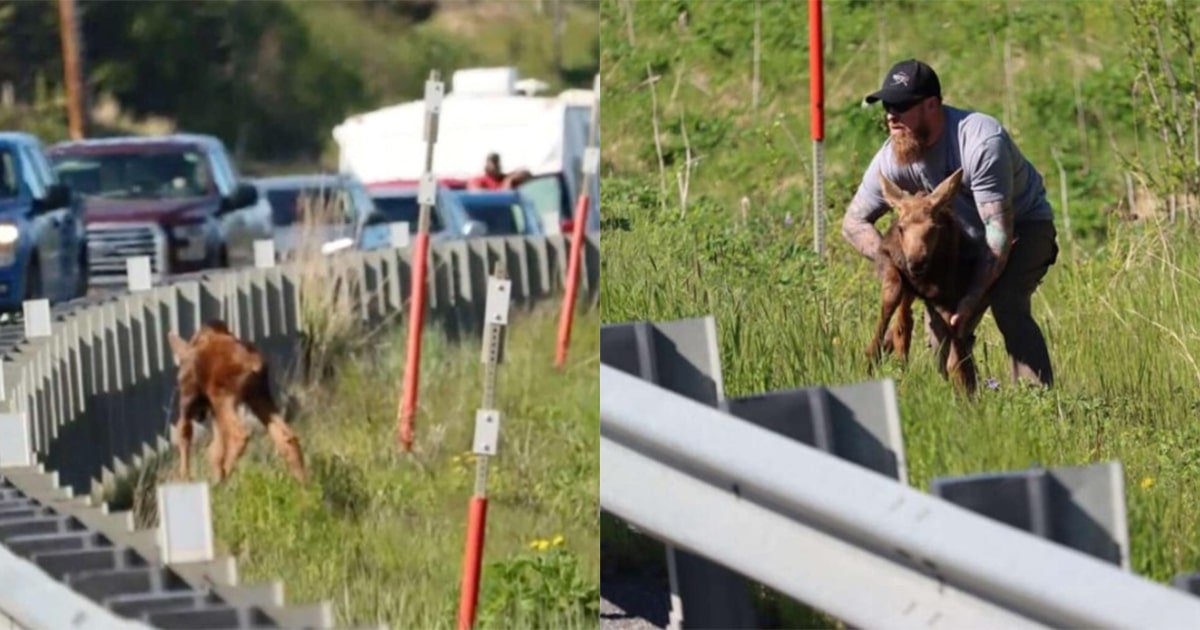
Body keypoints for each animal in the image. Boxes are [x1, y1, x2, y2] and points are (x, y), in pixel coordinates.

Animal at [169, 321, 309, 484]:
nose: (200, 415)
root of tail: (254, 364)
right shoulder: (212, 410)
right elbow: (215, 449)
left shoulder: (189, 396)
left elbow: (184, 432)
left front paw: (186, 478)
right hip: (257, 396)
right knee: (287, 437)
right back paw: (305, 485)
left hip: (222, 397)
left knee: (239, 435)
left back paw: (223, 476)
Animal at [868, 166, 979, 393]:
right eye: (901, 228)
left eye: (934, 228)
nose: (915, 262)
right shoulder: (888, 260)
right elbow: (891, 299)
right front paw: (871, 361)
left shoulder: (946, 292)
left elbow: (952, 332)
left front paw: (963, 385)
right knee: (902, 323)